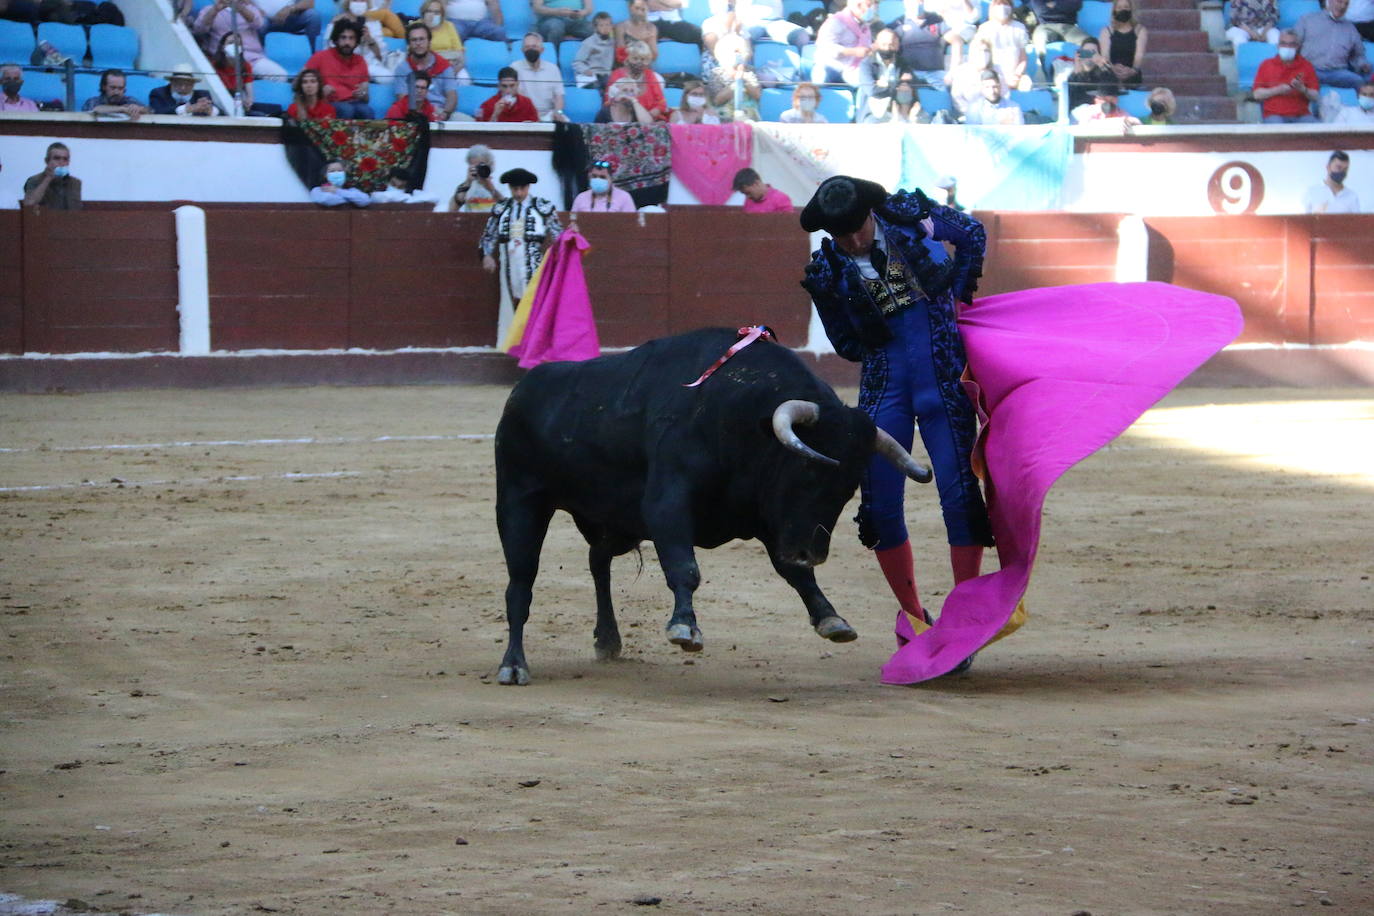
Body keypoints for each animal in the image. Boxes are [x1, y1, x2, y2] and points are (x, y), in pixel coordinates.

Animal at [489, 325, 928, 683]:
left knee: (598, 561)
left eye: (849, 488)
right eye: (807, 470)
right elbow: (684, 567)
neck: (740, 417)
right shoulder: (667, 504)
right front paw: (684, 628)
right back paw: (513, 665)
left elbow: (794, 574)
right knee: (520, 584)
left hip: (614, 520)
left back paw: (608, 640)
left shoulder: (770, 519)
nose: (812, 552)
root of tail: (522, 390)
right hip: (520, 503)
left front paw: (830, 618)